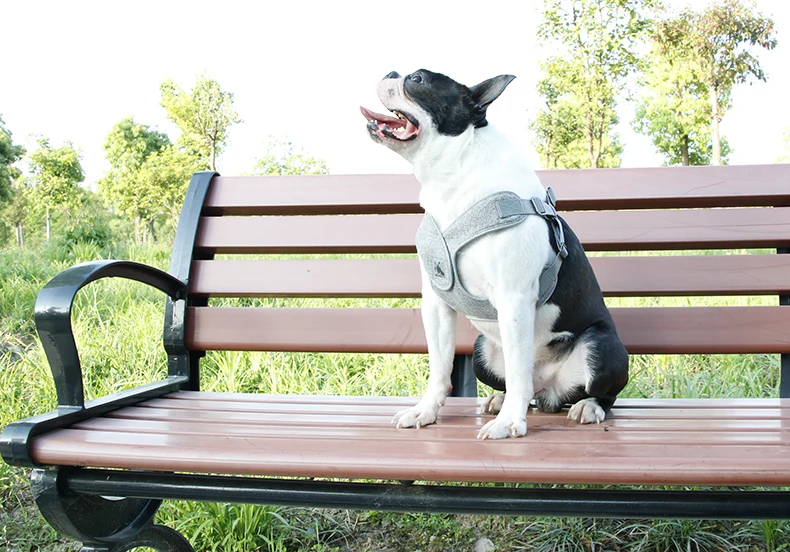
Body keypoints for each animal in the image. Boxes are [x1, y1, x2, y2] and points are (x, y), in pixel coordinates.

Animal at [362, 70, 628, 440]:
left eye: (417, 79)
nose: (390, 73)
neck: (453, 180)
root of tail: (549, 392)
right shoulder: (436, 302)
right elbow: (439, 366)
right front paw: (425, 411)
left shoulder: (513, 297)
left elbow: (518, 372)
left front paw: (509, 424)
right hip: (480, 350)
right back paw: (500, 400)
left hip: (602, 346)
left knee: (600, 392)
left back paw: (587, 406)